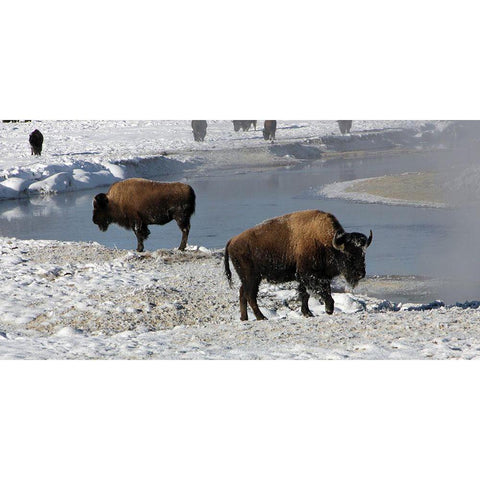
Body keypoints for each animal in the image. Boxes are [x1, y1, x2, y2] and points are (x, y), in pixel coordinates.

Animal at [223, 209, 374, 318]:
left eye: (363, 254)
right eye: (348, 255)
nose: (361, 274)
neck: (326, 243)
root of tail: (232, 240)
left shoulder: (307, 277)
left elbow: (305, 294)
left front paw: (308, 313)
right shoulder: (309, 275)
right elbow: (321, 291)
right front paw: (328, 309)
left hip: (249, 278)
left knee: (243, 293)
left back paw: (245, 318)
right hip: (252, 277)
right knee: (250, 295)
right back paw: (261, 317)